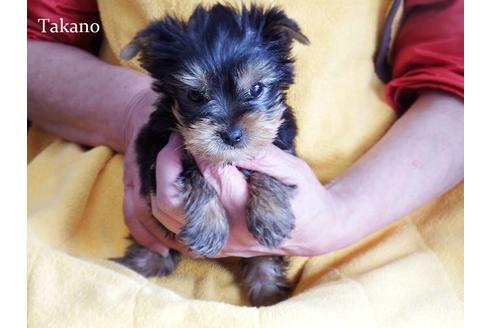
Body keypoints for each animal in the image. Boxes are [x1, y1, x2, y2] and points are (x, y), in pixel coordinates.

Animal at [113, 3, 310, 306]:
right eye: (195, 95)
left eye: (256, 89)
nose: (232, 135)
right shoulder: (156, 150)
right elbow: (196, 172)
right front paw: (209, 228)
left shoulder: (284, 148)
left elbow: (270, 171)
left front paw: (271, 216)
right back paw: (142, 262)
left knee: (264, 261)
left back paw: (267, 290)